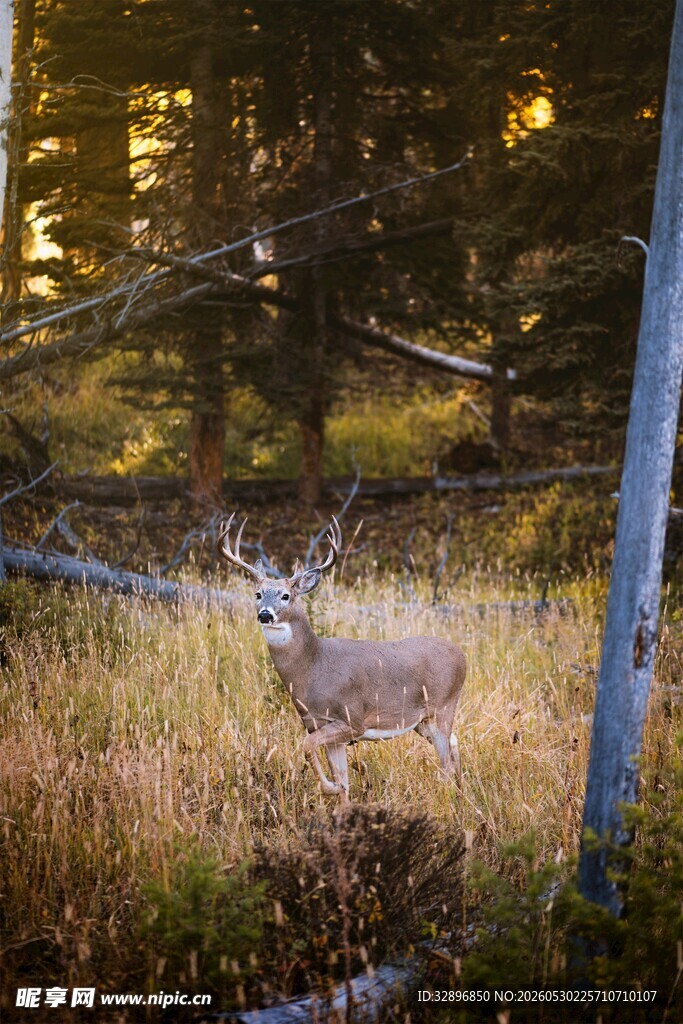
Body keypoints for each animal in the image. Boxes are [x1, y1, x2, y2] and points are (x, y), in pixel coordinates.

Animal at [217, 513, 466, 801]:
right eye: (258, 594)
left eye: (286, 596)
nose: (265, 614)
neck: (313, 667)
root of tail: (463, 655)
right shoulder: (317, 724)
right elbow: (342, 778)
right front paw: (341, 800)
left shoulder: (351, 719)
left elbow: (307, 747)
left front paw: (330, 788)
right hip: (421, 721)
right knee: (455, 745)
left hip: (443, 706)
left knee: (446, 761)